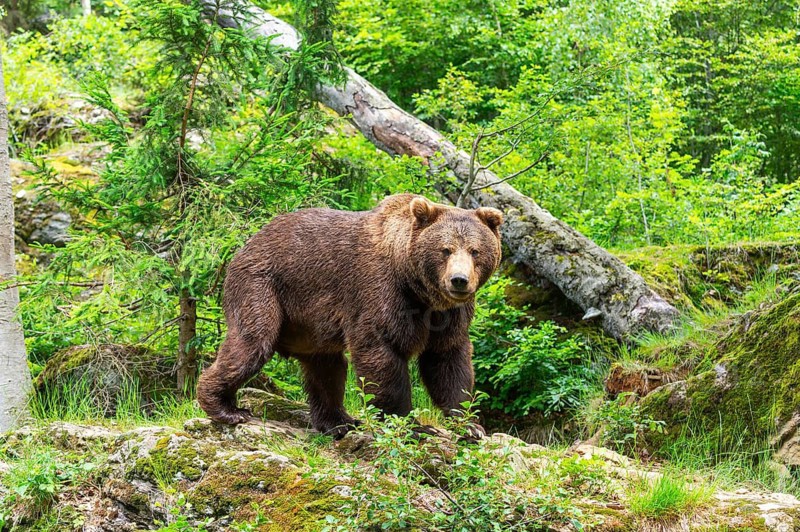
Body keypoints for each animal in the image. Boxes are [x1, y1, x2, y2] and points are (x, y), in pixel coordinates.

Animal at [196, 193, 503, 438]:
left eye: (475, 251)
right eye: (445, 250)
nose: (459, 280)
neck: (418, 290)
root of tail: (245, 245)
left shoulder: (449, 315)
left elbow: (447, 360)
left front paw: (470, 425)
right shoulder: (380, 293)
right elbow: (381, 353)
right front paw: (414, 425)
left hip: (310, 326)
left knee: (326, 369)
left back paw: (339, 421)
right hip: (263, 287)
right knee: (252, 342)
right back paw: (226, 407)